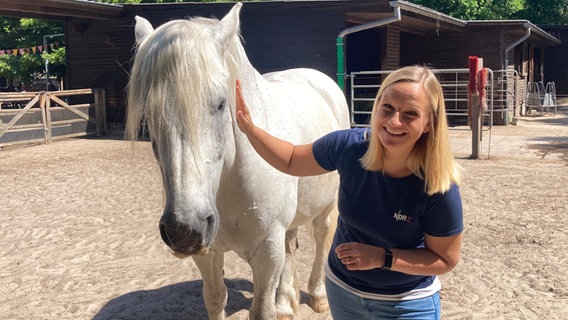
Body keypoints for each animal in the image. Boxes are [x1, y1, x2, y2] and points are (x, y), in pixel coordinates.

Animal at [127, 3, 350, 320]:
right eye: (148, 114)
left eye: (221, 104)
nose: (184, 229)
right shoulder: (208, 254)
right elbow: (216, 298)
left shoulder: (267, 252)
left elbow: (262, 309)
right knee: (291, 244)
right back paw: (286, 302)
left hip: (326, 206)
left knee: (322, 237)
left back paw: (318, 297)